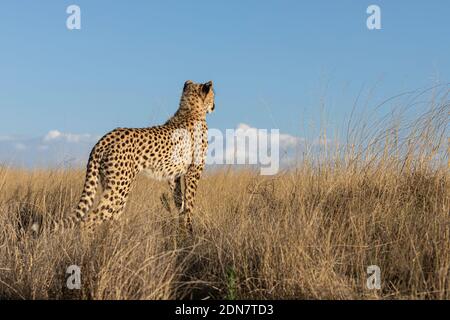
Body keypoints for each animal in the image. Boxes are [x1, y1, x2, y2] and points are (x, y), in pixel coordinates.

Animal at [34, 80, 214, 234]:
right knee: (89, 220)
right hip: (119, 187)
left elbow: (179, 200)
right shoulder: (194, 171)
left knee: (111, 218)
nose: (215, 105)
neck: (190, 110)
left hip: (111, 184)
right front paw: (189, 231)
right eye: (213, 95)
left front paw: (181, 226)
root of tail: (105, 138)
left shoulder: (173, 175)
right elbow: (190, 202)